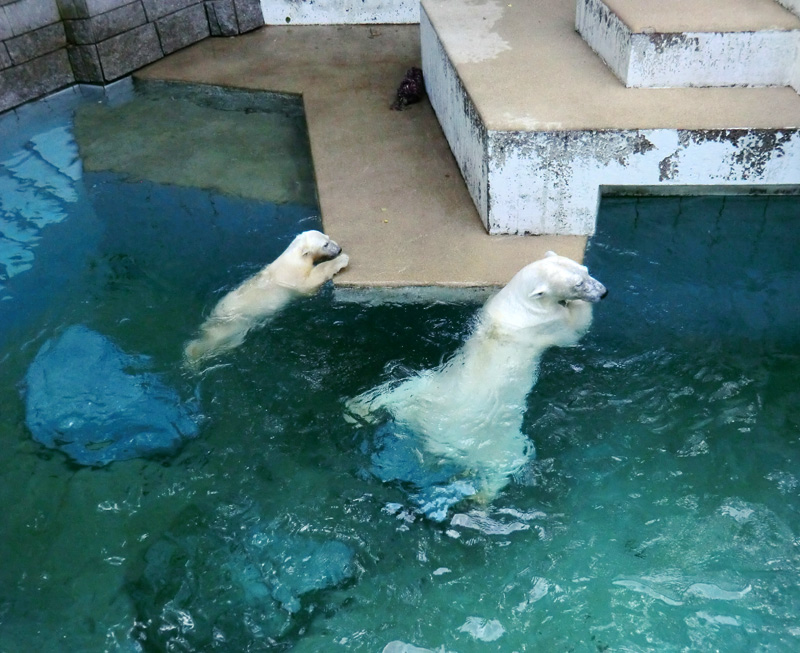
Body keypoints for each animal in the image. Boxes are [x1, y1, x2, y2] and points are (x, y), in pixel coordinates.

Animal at [189, 229, 352, 364]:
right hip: (233, 325)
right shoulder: (293, 277)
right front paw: (342, 260)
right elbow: (311, 282)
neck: (294, 258)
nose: (339, 249)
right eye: (325, 244)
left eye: (328, 238)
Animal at [346, 251, 608, 510]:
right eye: (579, 283)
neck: (517, 304)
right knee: (506, 465)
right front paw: (580, 306)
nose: (603, 292)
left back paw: (358, 409)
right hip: (501, 442)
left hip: (424, 392)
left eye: (585, 271)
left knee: (397, 388)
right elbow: (575, 329)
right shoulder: (547, 324)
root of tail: (434, 444)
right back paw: (479, 498)